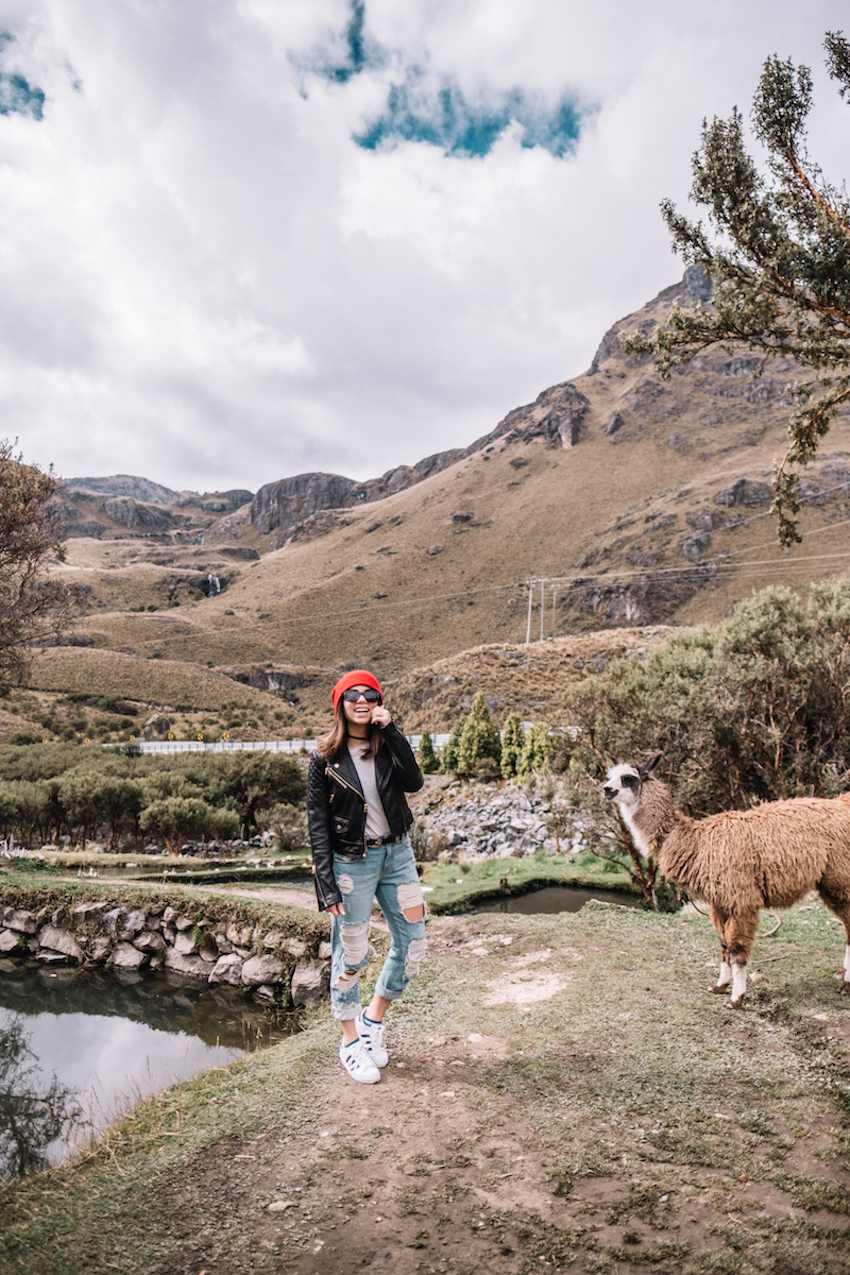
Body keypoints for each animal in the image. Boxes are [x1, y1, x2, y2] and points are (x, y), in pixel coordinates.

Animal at [603, 754, 850, 1007]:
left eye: (629, 778)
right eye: (609, 776)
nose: (606, 789)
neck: (697, 842)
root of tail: (842, 802)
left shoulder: (740, 899)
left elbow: (737, 951)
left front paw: (736, 998)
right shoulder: (720, 902)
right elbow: (723, 947)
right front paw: (720, 986)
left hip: (839, 878)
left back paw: (846, 985)